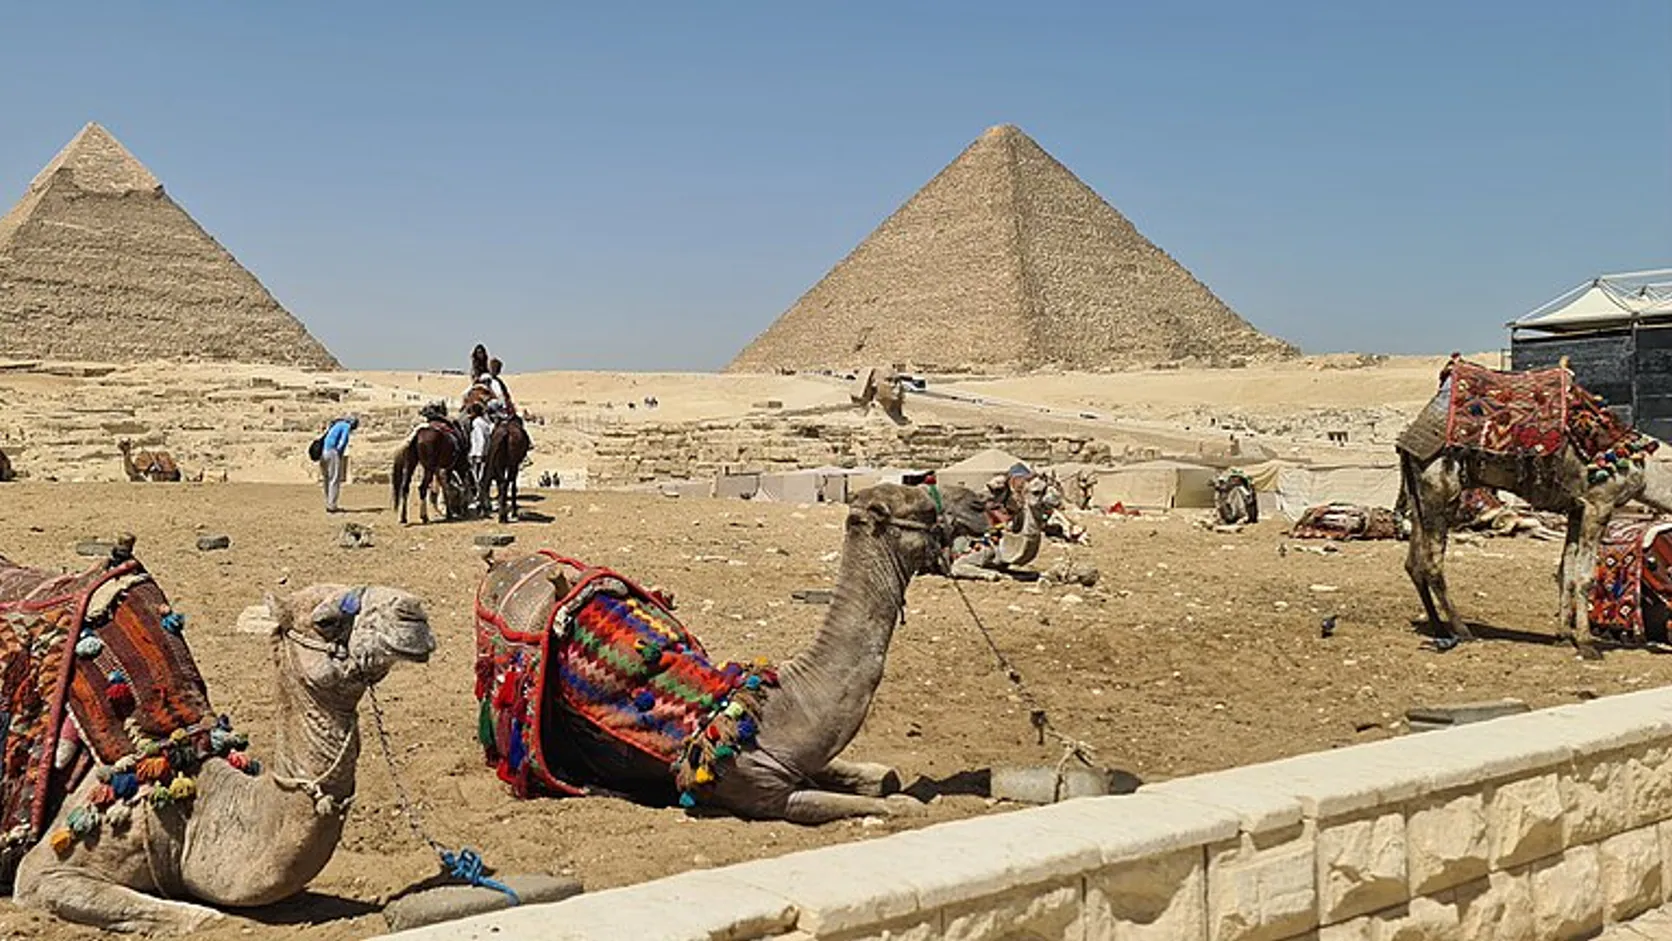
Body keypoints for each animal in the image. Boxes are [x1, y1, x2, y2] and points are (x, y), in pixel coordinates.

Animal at [474, 483, 991, 823]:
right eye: (921, 505)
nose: (981, 502)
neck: (779, 706)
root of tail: (505, 566)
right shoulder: (764, 794)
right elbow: (893, 802)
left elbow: (882, 776)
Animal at [1397, 359, 1672, 658]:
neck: (1639, 467)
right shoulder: (1599, 504)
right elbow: (1585, 577)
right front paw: (1586, 644)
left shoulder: (1576, 509)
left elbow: (1566, 571)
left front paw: (1564, 636)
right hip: (1439, 488)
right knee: (1432, 563)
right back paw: (1462, 630)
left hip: (1418, 492)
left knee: (1414, 563)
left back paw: (1439, 629)